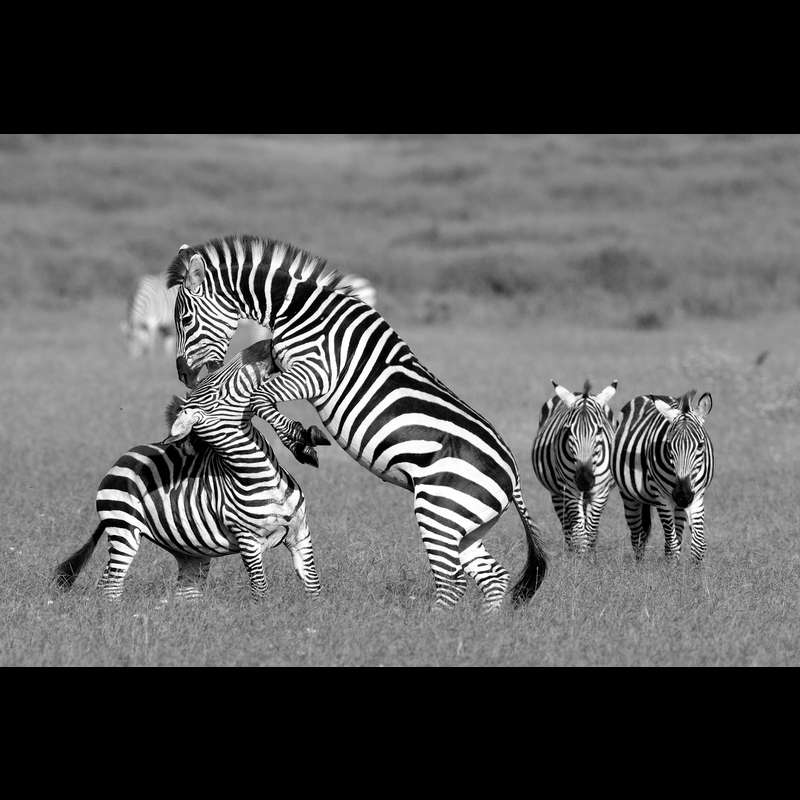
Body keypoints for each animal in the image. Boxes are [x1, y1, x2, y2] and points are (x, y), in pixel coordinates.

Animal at [53, 339, 321, 601]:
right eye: (216, 391)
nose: (266, 343)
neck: (259, 476)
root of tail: (124, 457)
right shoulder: (248, 540)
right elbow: (260, 590)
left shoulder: (301, 533)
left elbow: (314, 586)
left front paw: (314, 611)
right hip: (123, 529)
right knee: (112, 584)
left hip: (190, 552)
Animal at [167, 234, 548, 612]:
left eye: (184, 318)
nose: (183, 374)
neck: (300, 310)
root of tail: (513, 477)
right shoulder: (285, 363)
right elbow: (254, 386)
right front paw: (297, 435)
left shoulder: (315, 372)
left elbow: (260, 399)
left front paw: (300, 440)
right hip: (466, 525)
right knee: (492, 577)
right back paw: (481, 623)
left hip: (439, 510)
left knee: (452, 581)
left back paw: (434, 623)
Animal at [532, 379, 618, 553]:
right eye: (568, 431)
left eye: (599, 430)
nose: (584, 480)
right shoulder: (570, 490)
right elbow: (579, 533)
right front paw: (581, 558)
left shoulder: (600, 492)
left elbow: (590, 530)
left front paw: (589, 556)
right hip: (557, 494)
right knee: (567, 526)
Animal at [612, 390, 714, 563]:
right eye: (669, 445)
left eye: (700, 445)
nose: (683, 494)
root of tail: (645, 396)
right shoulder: (662, 498)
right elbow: (671, 546)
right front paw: (670, 570)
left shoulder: (697, 496)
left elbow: (698, 547)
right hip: (628, 495)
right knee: (637, 535)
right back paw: (639, 565)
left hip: (679, 506)